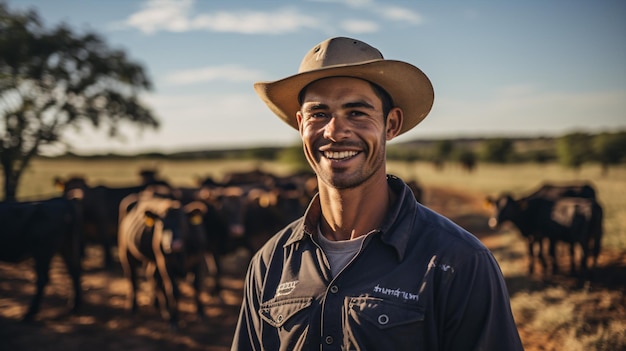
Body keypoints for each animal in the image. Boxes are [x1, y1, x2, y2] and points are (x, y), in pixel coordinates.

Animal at [0, 192, 82, 322]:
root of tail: (62, 201)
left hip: (42, 252)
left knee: (42, 279)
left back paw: (30, 313)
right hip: (66, 247)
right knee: (74, 271)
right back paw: (74, 307)